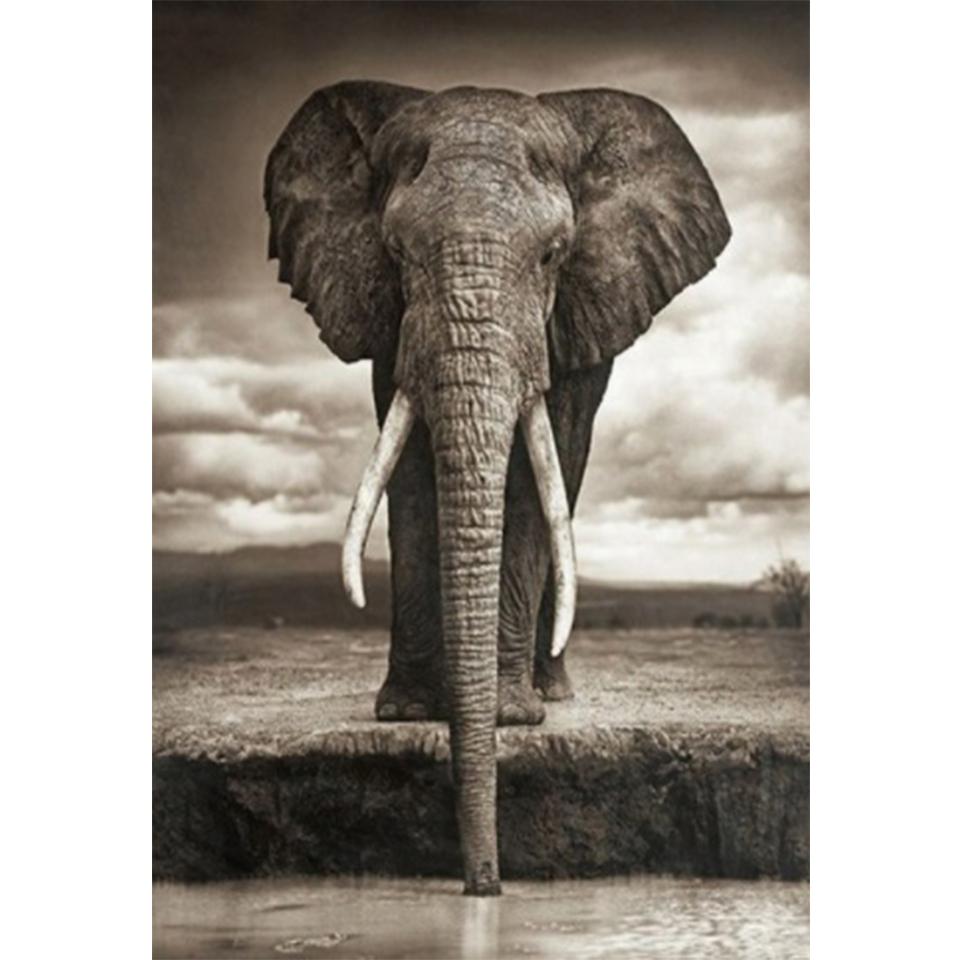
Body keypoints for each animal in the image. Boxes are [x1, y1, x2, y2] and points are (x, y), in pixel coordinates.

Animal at [264, 81, 730, 895]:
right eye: (394, 252)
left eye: (553, 254)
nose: (485, 884)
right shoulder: (392, 322)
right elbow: (411, 472)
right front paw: (409, 712)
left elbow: (534, 482)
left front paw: (511, 718)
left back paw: (551, 693)